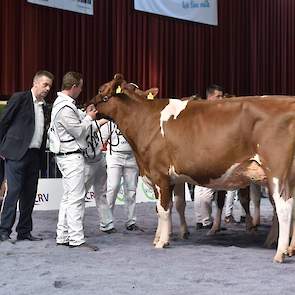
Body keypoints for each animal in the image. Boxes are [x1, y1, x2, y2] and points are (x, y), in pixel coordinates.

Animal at [92, 74, 295, 264]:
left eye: (101, 89)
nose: (87, 106)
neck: (145, 119)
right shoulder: (169, 177)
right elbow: (167, 207)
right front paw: (161, 236)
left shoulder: (159, 175)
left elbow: (163, 209)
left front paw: (162, 241)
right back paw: (286, 248)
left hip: (276, 172)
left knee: (284, 208)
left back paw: (280, 253)